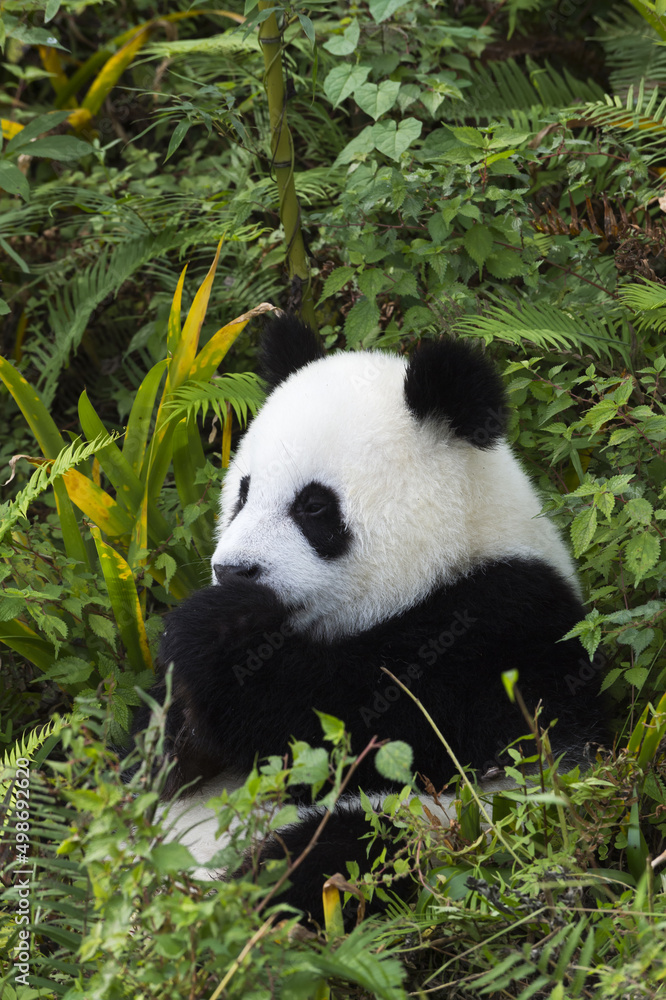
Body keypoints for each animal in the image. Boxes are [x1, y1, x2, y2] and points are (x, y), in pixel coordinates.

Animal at [135, 313, 604, 924]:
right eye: (242, 492)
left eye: (313, 506)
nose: (233, 571)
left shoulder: (502, 628)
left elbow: (363, 726)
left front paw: (214, 634)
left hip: (438, 826)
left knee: (333, 852)